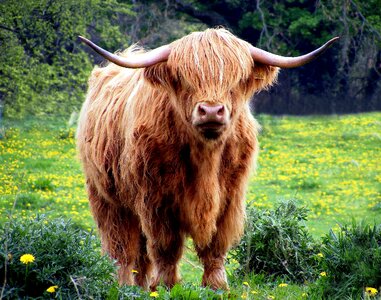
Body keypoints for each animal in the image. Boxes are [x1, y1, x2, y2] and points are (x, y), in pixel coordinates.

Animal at [76, 29, 336, 290]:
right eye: (184, 77)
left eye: (236, 79)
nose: (211, 111)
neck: (206, 159)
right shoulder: (155, 200)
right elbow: (165, 246)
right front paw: (165, 286)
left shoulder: (229, 198)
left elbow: (216, 245)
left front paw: (217, 285)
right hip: (106, 198)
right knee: (120, 247)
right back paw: (122, 285)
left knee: (140, 253)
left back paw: (140, 286)